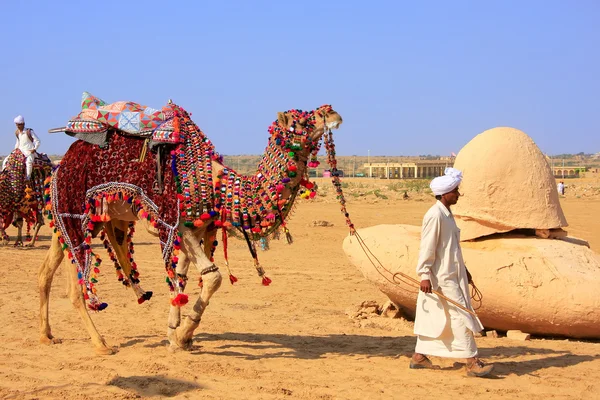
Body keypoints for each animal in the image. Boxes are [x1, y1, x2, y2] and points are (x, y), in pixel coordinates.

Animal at [38, 93, 342, 354]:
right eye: (302, 119)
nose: (333, 112)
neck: (222, 187)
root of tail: (60, 163)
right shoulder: (177, 224)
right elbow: (213, 277)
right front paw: (184, 334)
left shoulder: (198, 228)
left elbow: (181, 278)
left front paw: (174, 334)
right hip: (77, 211)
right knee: (75, 281)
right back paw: (101, 344)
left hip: (86, 218)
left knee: (46, 271)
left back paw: (47, 335)